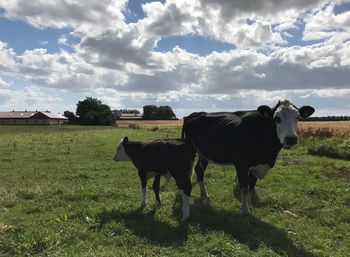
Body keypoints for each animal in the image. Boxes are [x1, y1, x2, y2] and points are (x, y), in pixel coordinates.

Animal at [182, 100, 316, 214]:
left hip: (204, 153)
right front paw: (245, 210)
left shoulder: (256, 166)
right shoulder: (241, 164)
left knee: (199, 170)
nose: (291, 139)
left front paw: (250, 207)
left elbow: (251, 187)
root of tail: (192, 115)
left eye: (298, 117)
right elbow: (244, 187)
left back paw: (205, 195)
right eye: (277, 118)